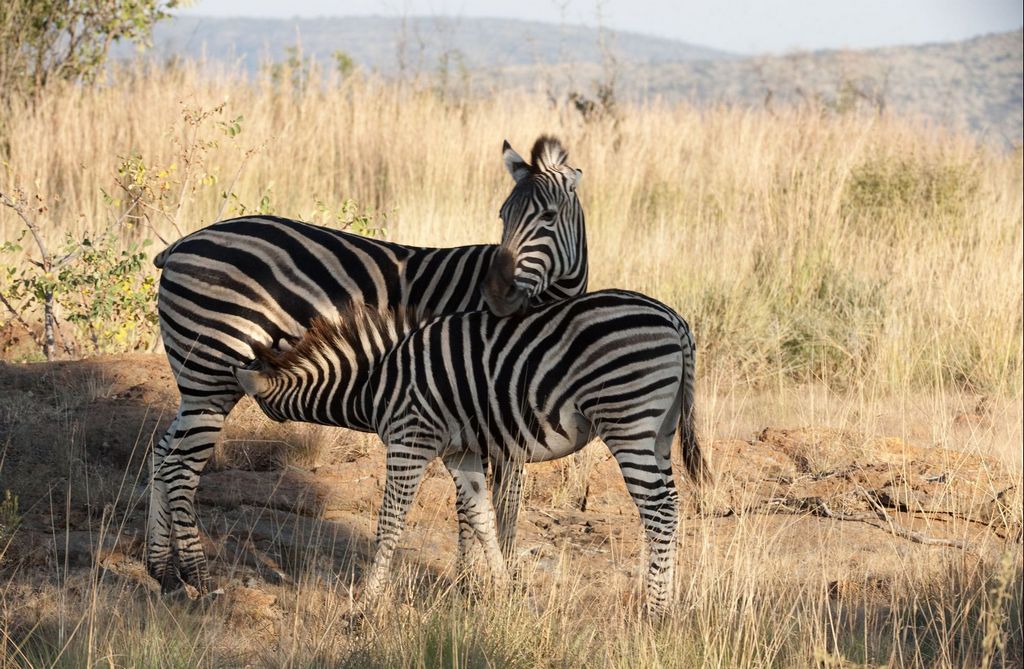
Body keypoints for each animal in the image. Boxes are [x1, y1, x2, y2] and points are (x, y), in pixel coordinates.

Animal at [148, 135, 589, 594]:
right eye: (503, 216)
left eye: (549, 217)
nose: (497, 296)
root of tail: (182, 243)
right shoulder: (473, 397)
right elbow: (482, 502)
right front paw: (473, 581)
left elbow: (493, 501)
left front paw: (476, 578)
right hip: (211, 371)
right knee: (180, 468)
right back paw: (200, 577)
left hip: (198, 382)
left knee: (161, 455)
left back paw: (164, 572)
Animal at [234, 284, 708, 614]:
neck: (373, 379)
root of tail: (674, 318)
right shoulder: (458, 452)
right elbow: (482, 517)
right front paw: (503, 590)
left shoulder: (410, 438)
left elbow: (390, 521)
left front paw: (368, 602)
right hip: (659, 431)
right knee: (672, 503)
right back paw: (667, 600)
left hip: (629, 421)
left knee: (659, 509)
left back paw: (656, 611)